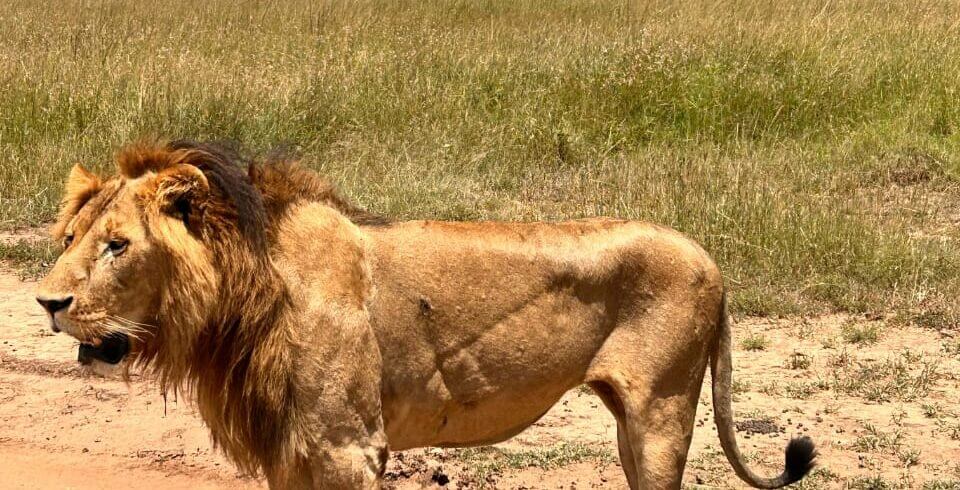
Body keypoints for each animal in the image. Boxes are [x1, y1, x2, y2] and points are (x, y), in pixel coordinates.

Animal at [36, 140, 815, 489]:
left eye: (118, 246)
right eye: (70, 240)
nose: (48, 303)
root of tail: (712, 261)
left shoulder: (349, 446)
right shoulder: (292, 449)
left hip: (661, 413)